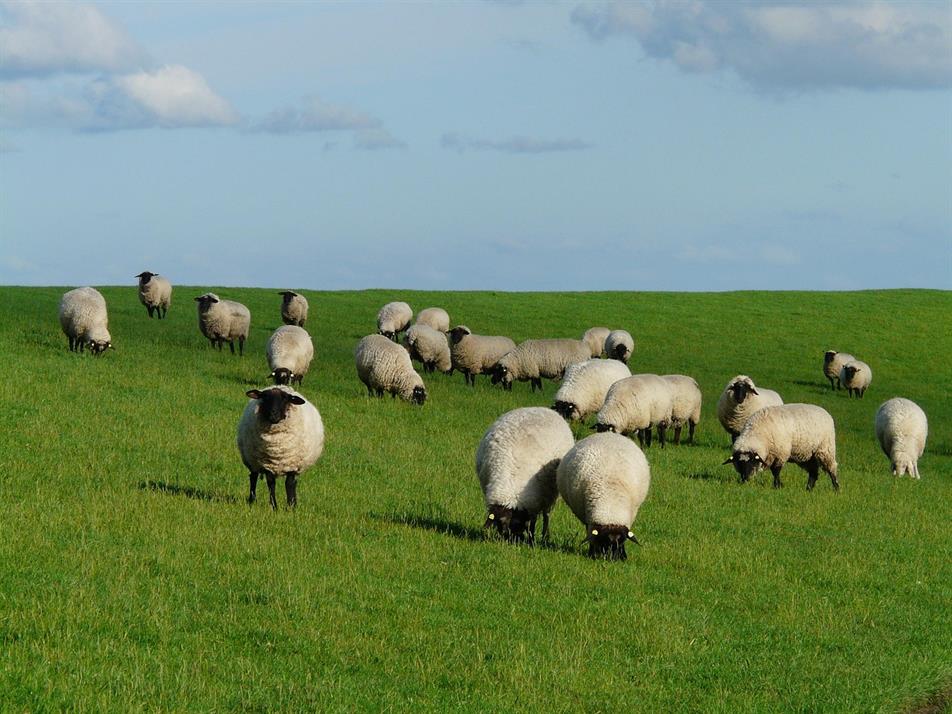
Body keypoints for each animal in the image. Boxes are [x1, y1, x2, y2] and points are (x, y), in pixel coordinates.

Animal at [476, 407, 575, 544]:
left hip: (550, 494)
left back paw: (545, 536)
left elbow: (532, 523)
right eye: (500, 524)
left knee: (546, 515)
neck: (509, 481)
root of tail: (542, 408)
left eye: (517, 523)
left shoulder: (534, 501)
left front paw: (532, 540)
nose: (514, 540)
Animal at [557, 432, 650, 561]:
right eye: (604, 540)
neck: (610, 503)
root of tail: (608, 433)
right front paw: (592, 554)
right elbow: (591, 536)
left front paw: (623, 556)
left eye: (622, 541)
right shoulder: (590, 521)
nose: (613, 559)